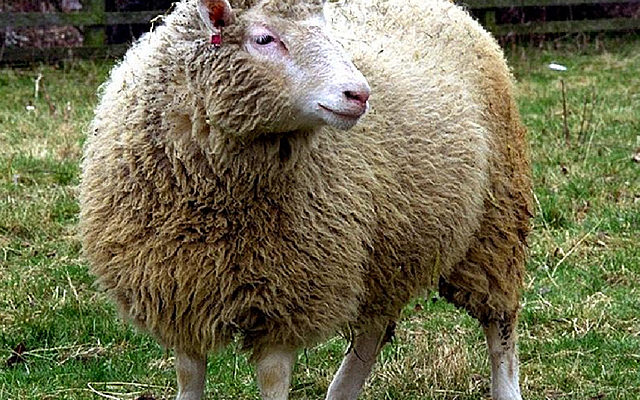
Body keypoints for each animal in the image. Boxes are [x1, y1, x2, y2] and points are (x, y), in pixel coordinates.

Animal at [79, 0, 533, 399]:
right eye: (264, 38)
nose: (359, 94)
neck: (213, 207)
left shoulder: (289, 292)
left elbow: (272, 378)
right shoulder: (178, 291)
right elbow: (189, 377)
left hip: (496, 220)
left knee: (500, 325)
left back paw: (507, 387)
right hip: (390, 246)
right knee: (373, 328)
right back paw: (342, 392)